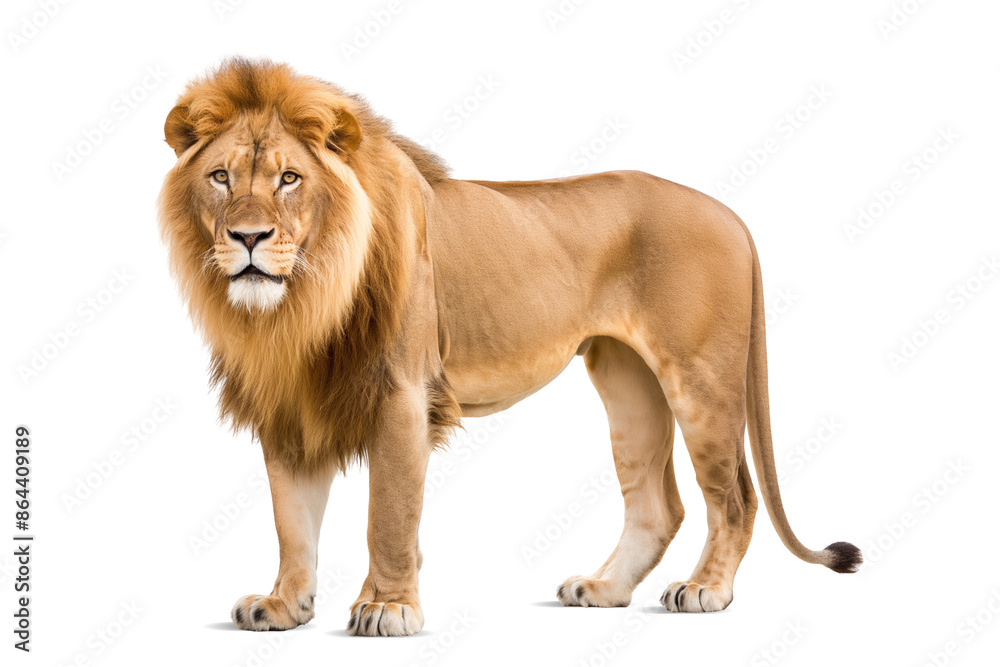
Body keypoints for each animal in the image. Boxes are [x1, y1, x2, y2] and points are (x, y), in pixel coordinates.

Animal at [158, 58, 861, 636]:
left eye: (289, 179)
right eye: (220, 177)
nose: (249, 238)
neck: (301, 304)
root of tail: (731, 212)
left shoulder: (404, 394)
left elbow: (389, 514)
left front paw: (387, 607)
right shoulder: (289, 401)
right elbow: (292, 519)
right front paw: (283, 605)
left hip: (701, 381)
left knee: (734, 496)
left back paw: (705, 591)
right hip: (628, 383)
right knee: (660, 505)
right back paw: (603, 589)